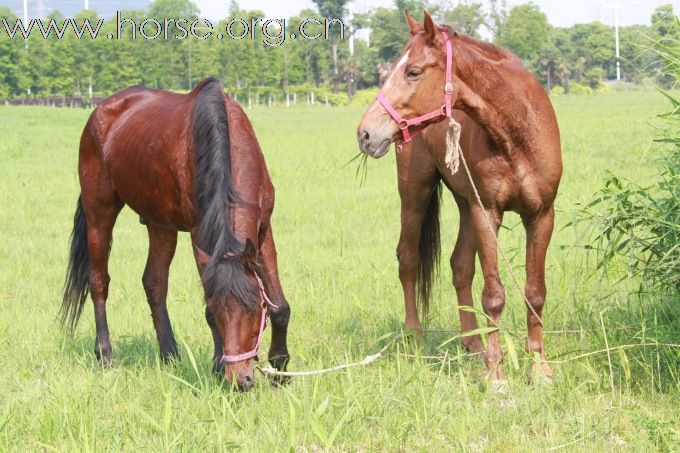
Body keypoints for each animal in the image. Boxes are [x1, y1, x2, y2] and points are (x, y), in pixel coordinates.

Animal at [60, 77, 290, 388]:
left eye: (255, 310)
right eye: (219, 313)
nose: (239, 380)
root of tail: (101, 110)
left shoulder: (263, 229)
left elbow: (279, 304)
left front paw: (280, 367)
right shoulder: (199, 236)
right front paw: (217, 367)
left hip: (161, 225)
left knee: (154, 282)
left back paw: (170, 354)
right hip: (99, 210)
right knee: (99, 282)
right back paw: (105, 355)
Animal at [356, 11, 564, 388]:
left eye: (413, 71)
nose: (365, 133)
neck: (518, 131)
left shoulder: (541, 214)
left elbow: (535, 292)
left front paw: (539, 369)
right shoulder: (488, 213)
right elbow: (494, 296)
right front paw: (496, 378)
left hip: (466, 205)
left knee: (459, 266)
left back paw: (472, 344)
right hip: (417, 192)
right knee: (408, 259)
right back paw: (415, 336)